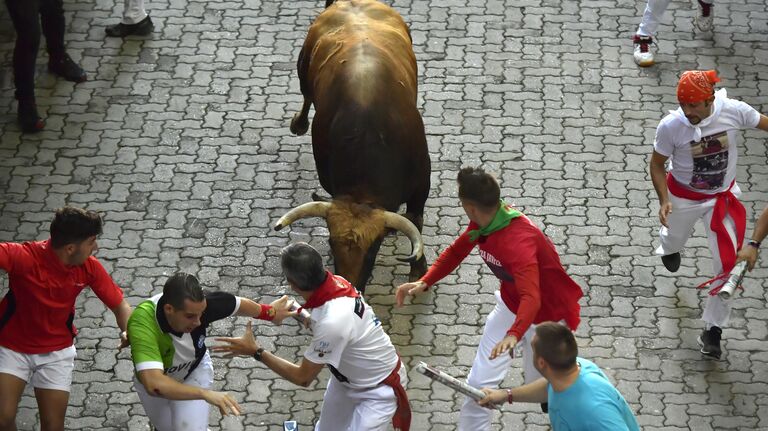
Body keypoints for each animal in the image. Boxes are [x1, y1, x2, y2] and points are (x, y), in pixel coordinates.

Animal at [276, 0, 432, 294]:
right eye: (331, 244)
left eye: (373, 247)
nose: (350, 282)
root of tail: (349, 3)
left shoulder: (420, 186)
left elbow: (415, 221)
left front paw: (418, 272)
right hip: (303, 67)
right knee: (305, 94)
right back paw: (298, 123)